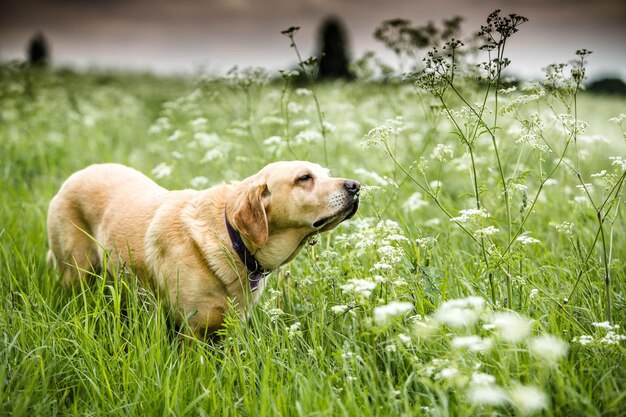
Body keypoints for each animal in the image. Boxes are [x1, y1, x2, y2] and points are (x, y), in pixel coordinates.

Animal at [46, 161, 358, 336]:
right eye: (304, 178)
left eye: (326, 174)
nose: (356, 185)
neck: (232, 239)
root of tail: (73, 176)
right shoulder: (191, 329)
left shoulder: (232, 327)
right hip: (77, 272)